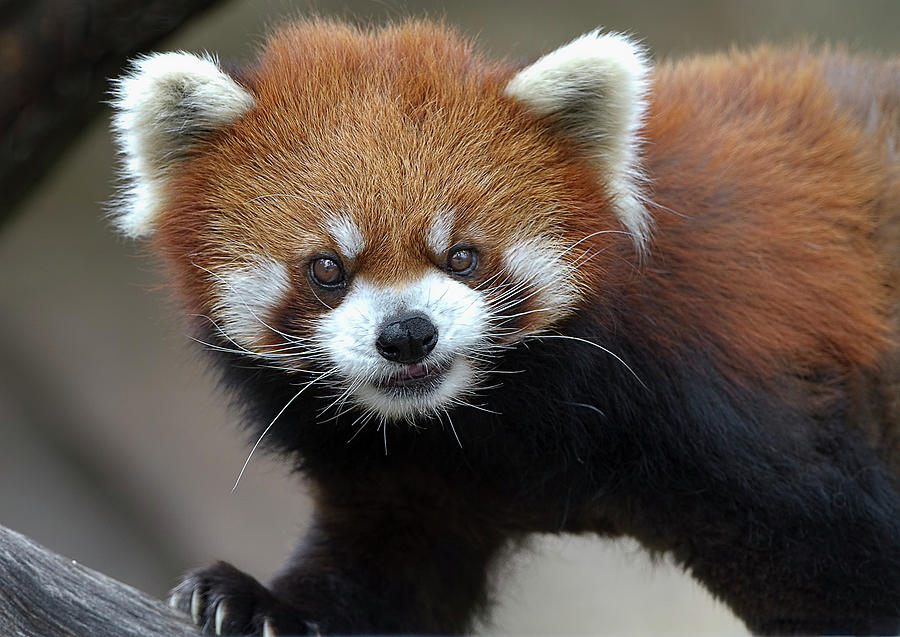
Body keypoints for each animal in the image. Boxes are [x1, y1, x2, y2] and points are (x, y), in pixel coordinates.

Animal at [110, 17, 900, 636]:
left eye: (463, 255)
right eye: (327, 268)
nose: (407, 334)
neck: (499, 423)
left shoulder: (727, 398)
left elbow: (837, 562)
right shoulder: (413, 480)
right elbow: (386, 576)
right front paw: (259, 603)